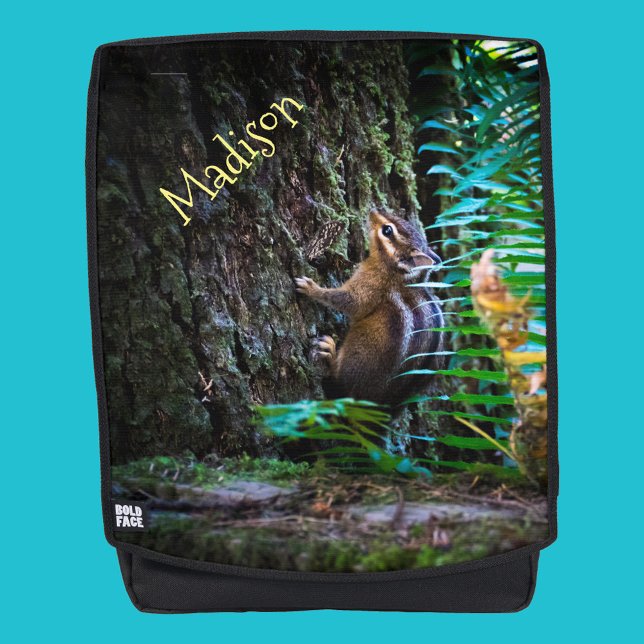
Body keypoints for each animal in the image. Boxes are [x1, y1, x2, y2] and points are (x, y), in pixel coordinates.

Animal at [295, 209, 445, 407]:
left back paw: (330, 352)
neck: (399, 275)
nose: (374, 210)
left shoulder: (370, 286)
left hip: (358, 354)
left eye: (387, 230)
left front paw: (312, 288)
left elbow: (348, 301)